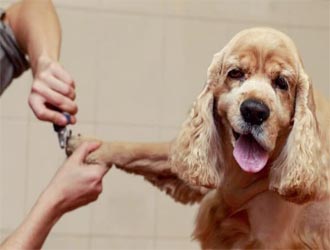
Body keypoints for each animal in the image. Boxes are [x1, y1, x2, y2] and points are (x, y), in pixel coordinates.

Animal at [67, 28, 330, 249]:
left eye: (282, 83)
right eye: (235, 73)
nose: (254, 111)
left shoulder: (270, 238)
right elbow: (141, 149)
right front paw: (87, 145)